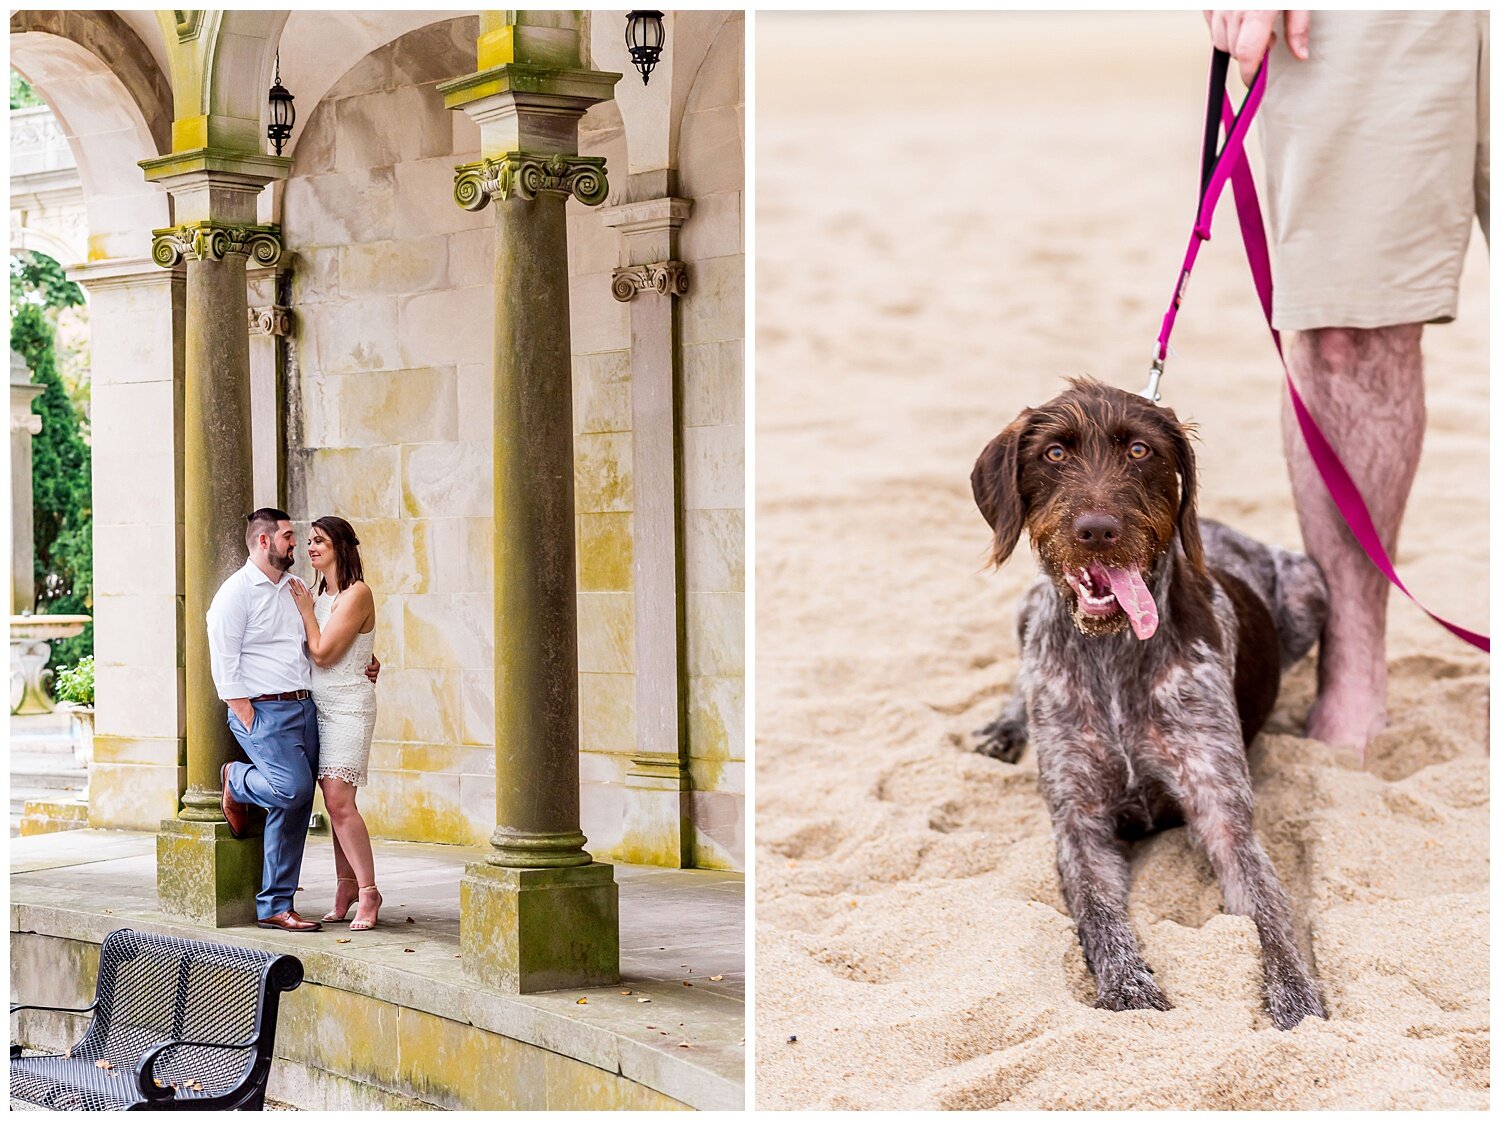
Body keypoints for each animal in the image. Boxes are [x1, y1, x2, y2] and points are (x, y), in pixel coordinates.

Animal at [978, 379, 1332, 1032]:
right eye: (1054, 453)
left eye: (1140, 450)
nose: (1097, 530)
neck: (1114, 653)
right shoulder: (1079, 823)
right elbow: (1100, 917)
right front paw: (1129, 988)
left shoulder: (1224, 816)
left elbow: (1270, 917)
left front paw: (1296, 998)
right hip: (1028, 605)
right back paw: (1004, 726)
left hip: (1309, 585)